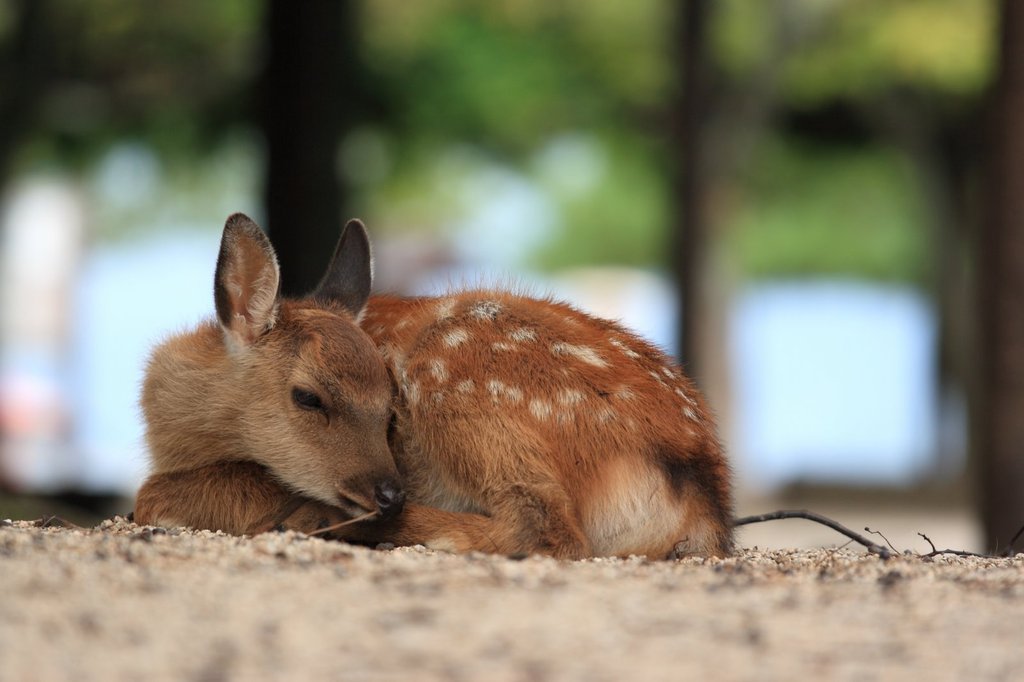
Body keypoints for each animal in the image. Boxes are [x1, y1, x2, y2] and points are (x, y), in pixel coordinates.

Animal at [136, 214, 733, 557]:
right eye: (307, 397)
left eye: (390, 411)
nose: (389, 491)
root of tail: (703, 494)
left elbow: (151, 495)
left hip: (459, 385)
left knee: (545, 528)